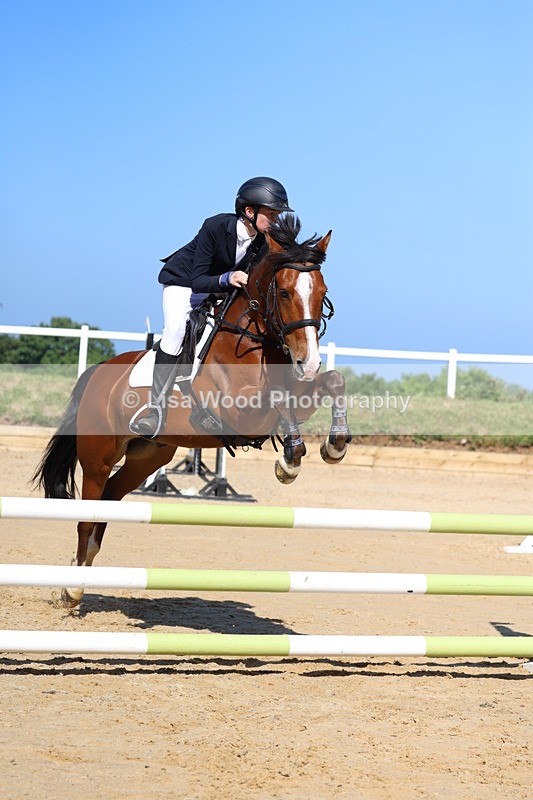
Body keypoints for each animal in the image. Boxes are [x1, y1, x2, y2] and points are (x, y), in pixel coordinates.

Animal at [34, 215, 352, 606]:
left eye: (322, 293)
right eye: (284, 293)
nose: (308, 363)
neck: (252, 339)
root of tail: (96, 373)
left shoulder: (297, 393)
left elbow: (333, 381)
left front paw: (334, 445)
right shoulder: (238, 410)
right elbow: (277, 399)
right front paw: (289, 461)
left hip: (146, 458)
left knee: (109, 500)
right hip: (97, 459)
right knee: (88, 515)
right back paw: (72, 588)